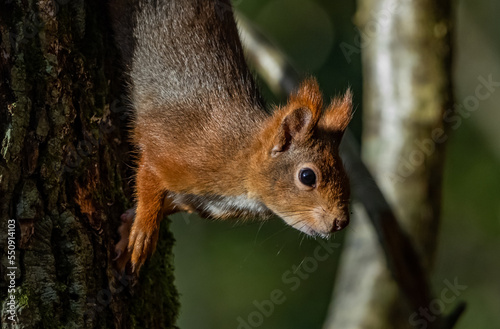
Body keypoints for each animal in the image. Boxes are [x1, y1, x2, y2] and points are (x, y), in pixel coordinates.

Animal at [110, 0, 352, 272]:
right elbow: (149, 177)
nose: (341, 222)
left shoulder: (199, 201)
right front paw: (143, 231)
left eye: (346, 173)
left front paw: (129, 227)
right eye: (307, 176)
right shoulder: (170, 148)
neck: (238, 154)